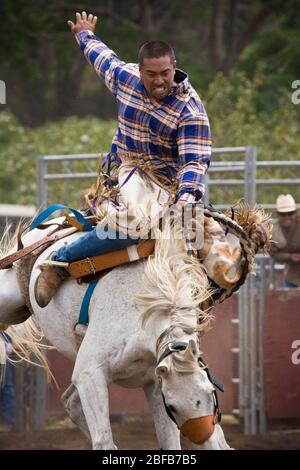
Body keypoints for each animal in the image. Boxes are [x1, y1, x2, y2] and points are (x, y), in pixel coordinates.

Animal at [0, 218, 232, 450]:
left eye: (211, 393)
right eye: (173, 406)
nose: (202, 436)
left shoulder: (155, 385)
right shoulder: (89, 373)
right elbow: (104, 441)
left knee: (70, 402)